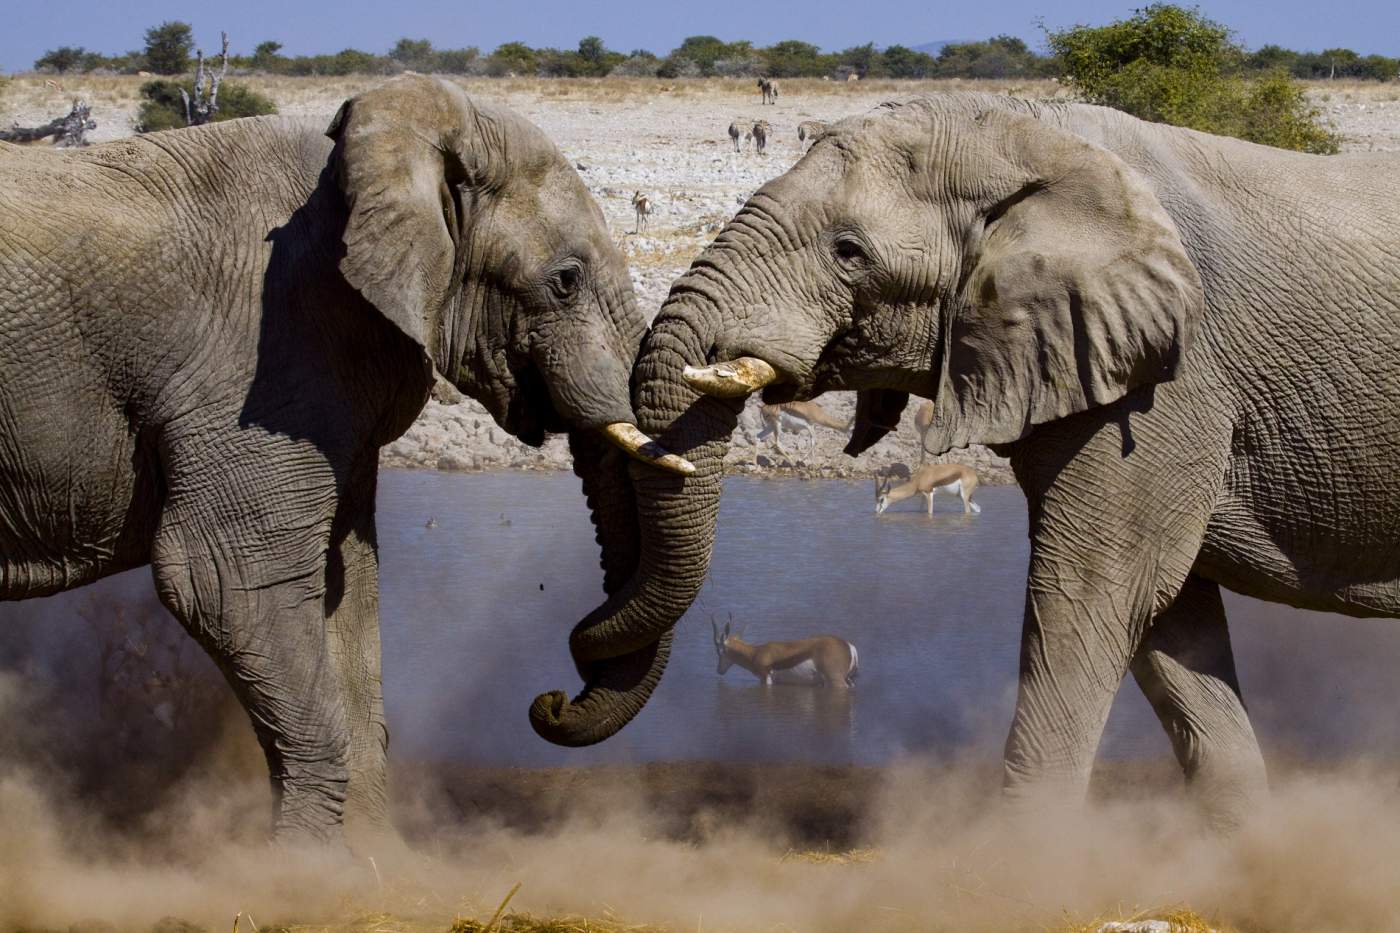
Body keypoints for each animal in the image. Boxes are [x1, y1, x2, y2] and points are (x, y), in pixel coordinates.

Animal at [0, 72, 688, 840]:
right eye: (566, 280)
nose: (551, 702)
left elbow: (347, 581)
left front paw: (372, 861)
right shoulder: (262, 357)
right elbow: (224, 578)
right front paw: (306, 864)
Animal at [711, 616, 851, 683]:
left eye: (719, 651)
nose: (718, 670)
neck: (756, 653)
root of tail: (848, 645)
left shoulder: (766, 678)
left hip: (835, 680)